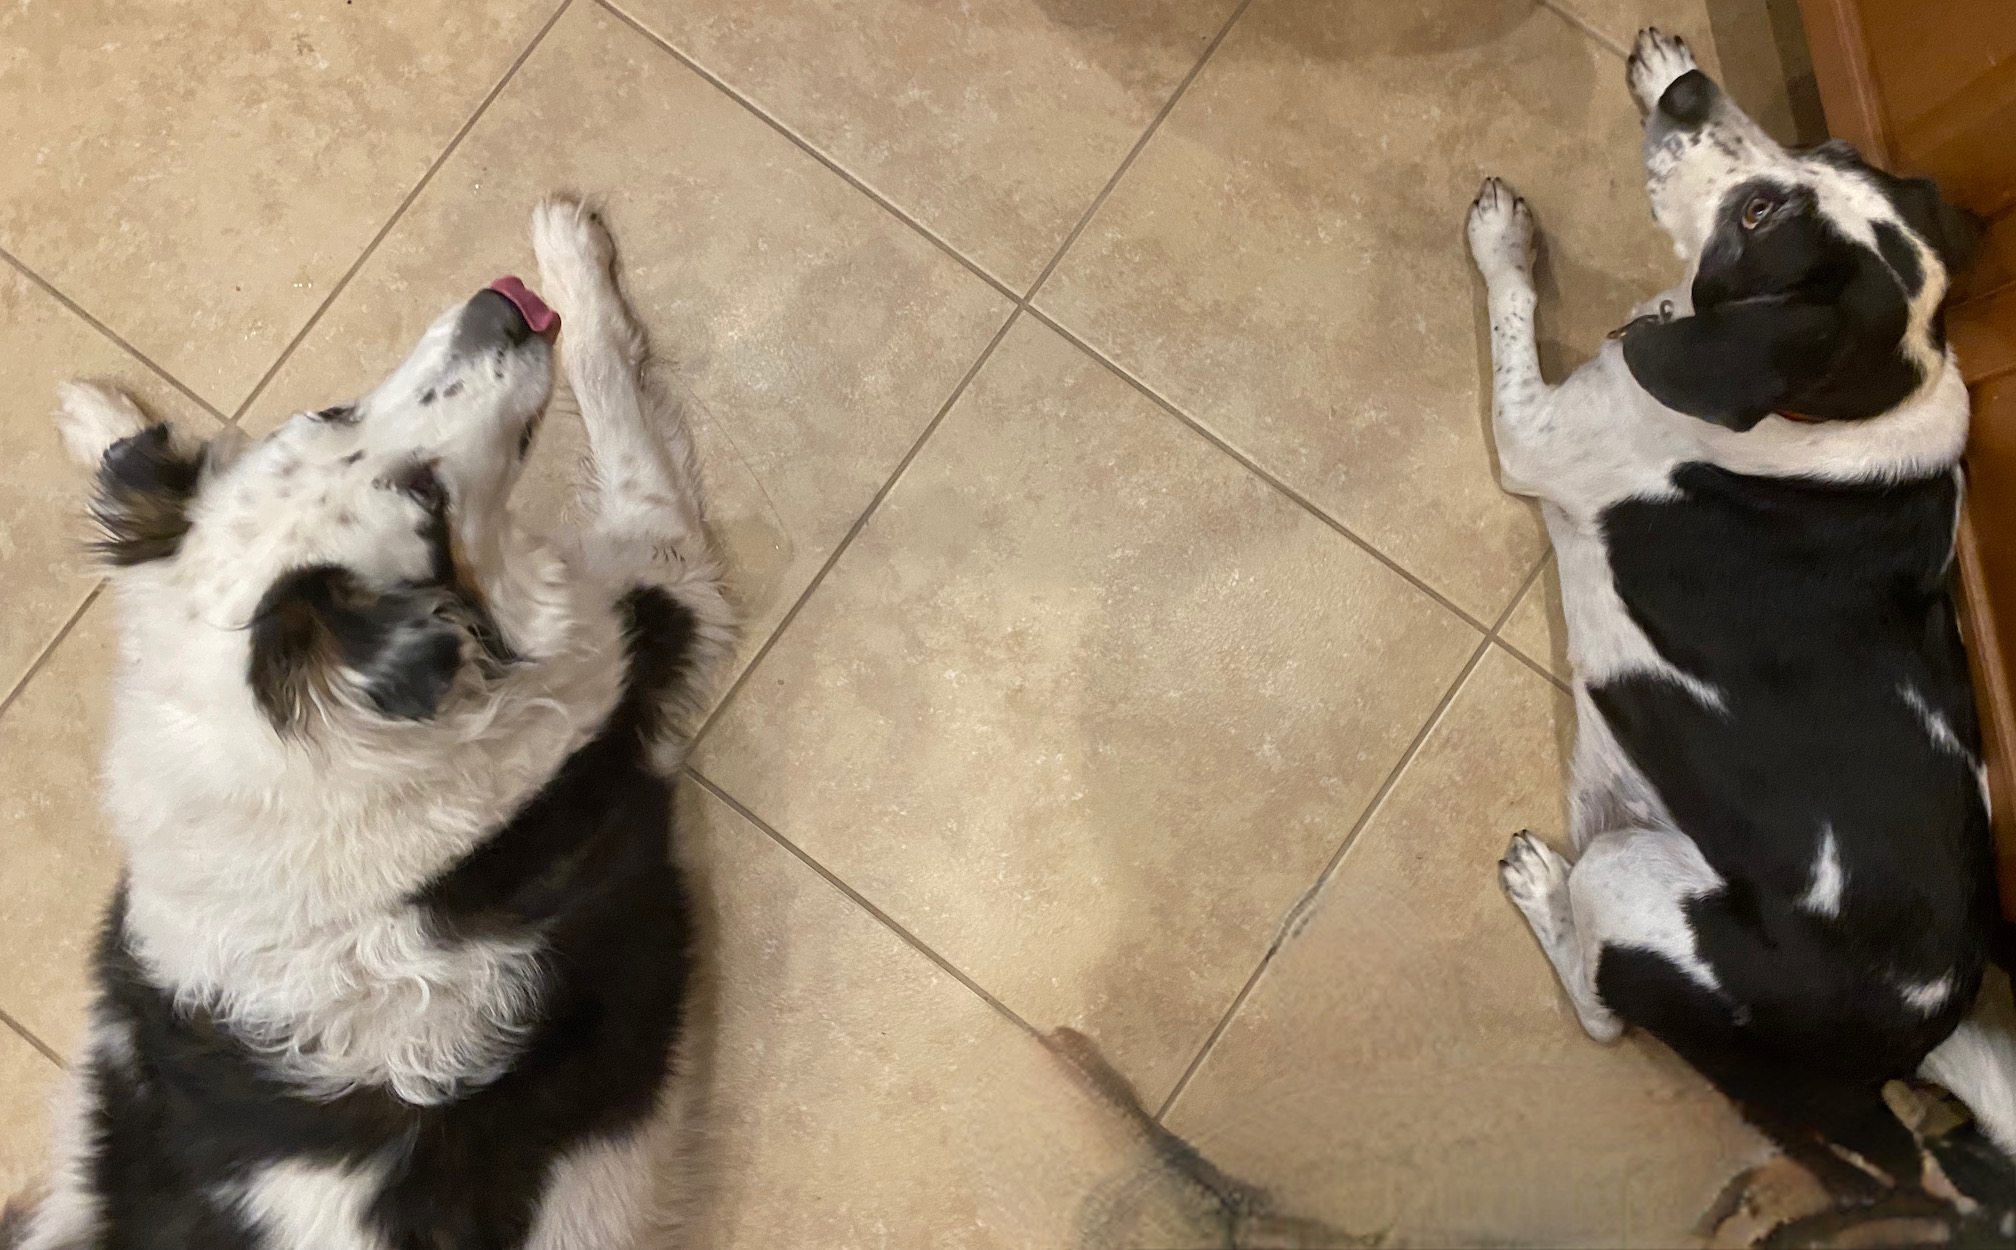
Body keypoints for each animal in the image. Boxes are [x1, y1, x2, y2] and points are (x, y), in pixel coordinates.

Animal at [18, 199, 730, 1249]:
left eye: (330, 410)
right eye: (427, 509)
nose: (501, 309)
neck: (301, 754)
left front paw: (101, 430)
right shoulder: (654, 581)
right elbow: (611, 379)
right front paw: (572, 257)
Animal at [1467, 28, 2016, 1197]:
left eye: (1761, 217)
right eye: (1824, 148)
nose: (1687, 92)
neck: (1845, 402)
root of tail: (1899, 1051)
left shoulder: (1535, 433)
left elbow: (1512, 321)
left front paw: (1502, 241)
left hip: (1633, 880)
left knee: (1604, 1012)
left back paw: (1542, 888)